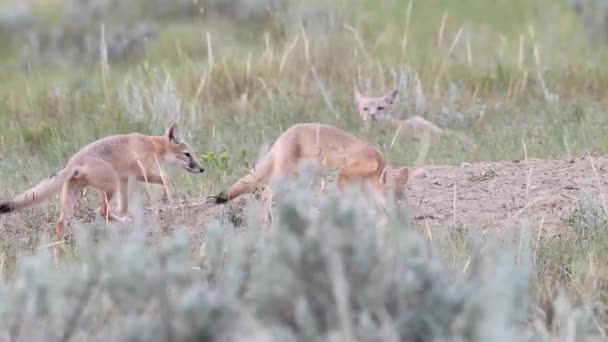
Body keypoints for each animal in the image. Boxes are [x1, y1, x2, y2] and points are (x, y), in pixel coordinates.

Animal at [0, 121, 204, 242]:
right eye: (187, 155)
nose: (202, 169)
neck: (152, 144)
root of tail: (75, 161)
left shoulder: (124, 179)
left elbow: (124, 206)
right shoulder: (142, 173)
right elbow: (168, 179)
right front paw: (172, 198)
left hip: (78, 194)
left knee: (61, 222)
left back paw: (60, 251)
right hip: (110, 185)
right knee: (102, 211)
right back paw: (123, 223)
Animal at [208, 123, 408, 206]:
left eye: (401, 197)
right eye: (392, 196)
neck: (377, 164)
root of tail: (285, 133)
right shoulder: (344, 175)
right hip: (285, 175)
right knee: (265, 195)